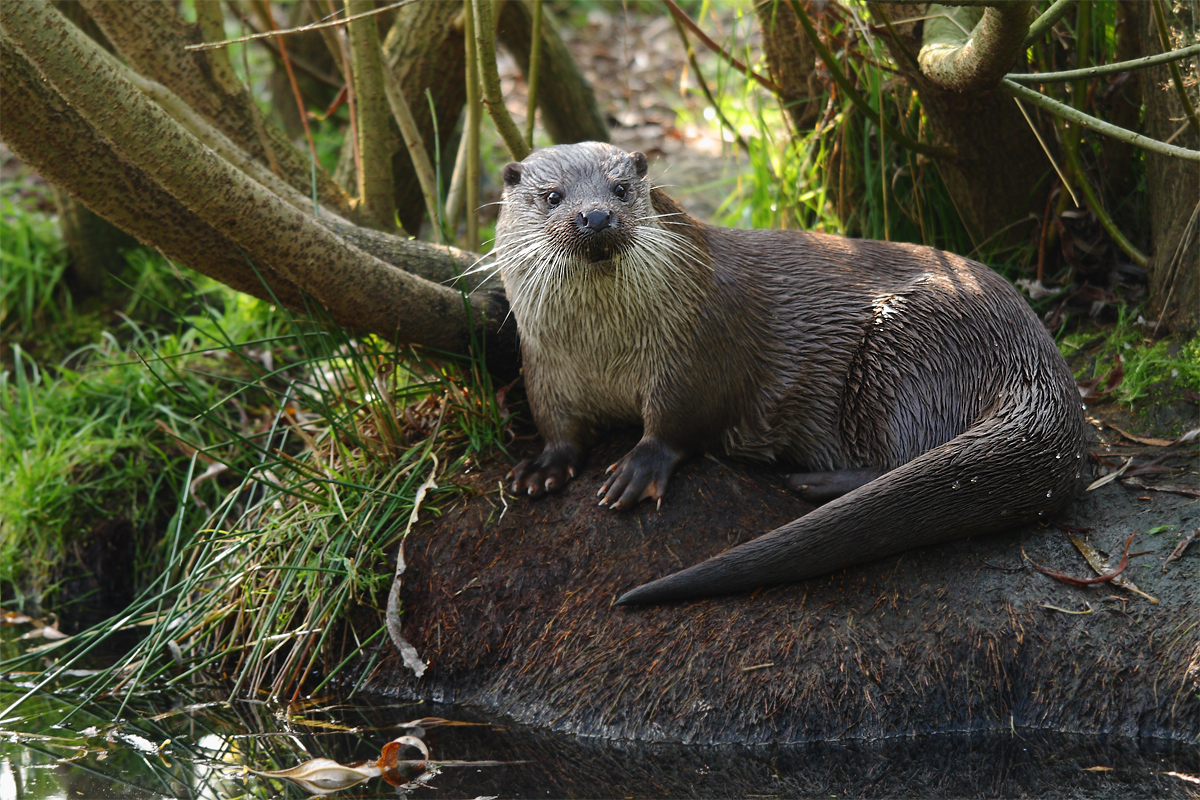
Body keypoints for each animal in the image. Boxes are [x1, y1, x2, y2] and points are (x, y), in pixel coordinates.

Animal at [492, 145, 1094, 606]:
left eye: (620, 190)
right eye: (551, 197)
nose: (595, 217)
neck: (603, 353)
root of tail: (1036, 357)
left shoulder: (697, 349)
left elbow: (677, 422)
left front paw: (638, 468)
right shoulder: (544, 367)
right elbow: (556, 424)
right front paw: (543, 468)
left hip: (909, 348)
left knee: (905, 453)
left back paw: (815, 483)